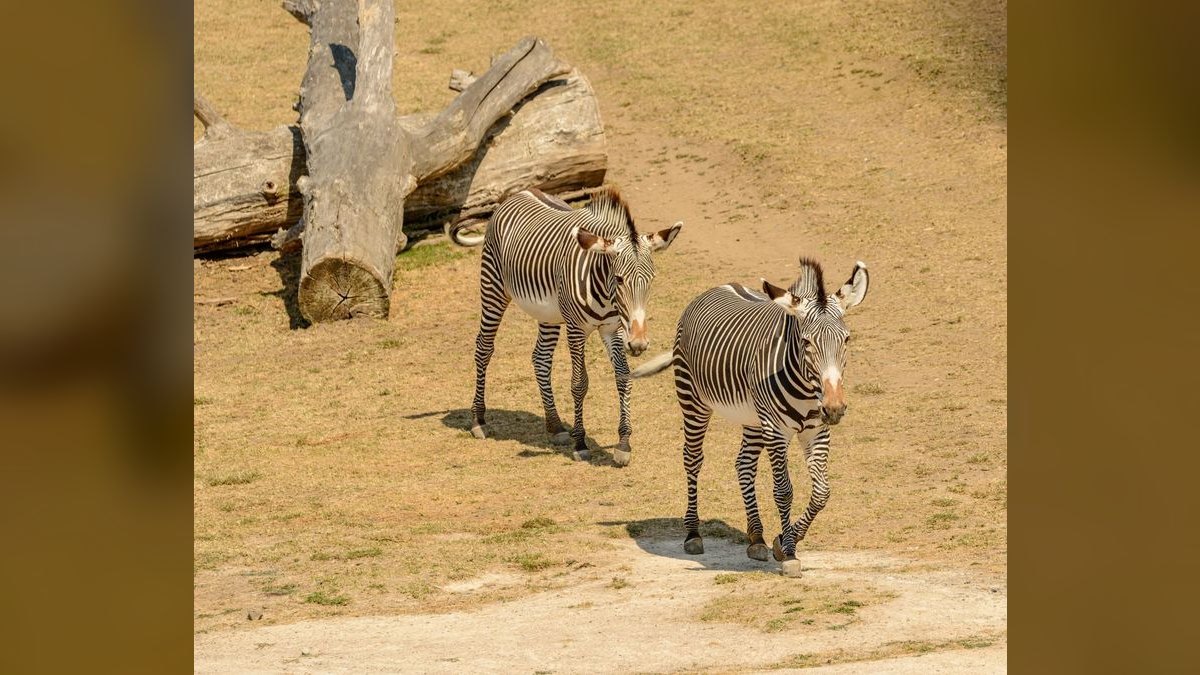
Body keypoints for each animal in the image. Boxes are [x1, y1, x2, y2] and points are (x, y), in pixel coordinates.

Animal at [450, 186, 683, 466]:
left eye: (652, 279)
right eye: (619, 279)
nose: (638, 344)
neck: (605, 289)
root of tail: (519, 192)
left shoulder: (612, 328)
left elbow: (623, 377)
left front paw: (623, 443)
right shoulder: (576, 328)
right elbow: (579, 383)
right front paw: (580, 443)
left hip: (548, 312)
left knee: (540, 358)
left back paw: (555, 425)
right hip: (493, 287)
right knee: (484, 348)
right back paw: (478, 419)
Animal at [630, 257, 869, 576]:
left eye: (846, 339)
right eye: (806, 343)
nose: (834, 408)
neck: (807, 390)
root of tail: (719, 287)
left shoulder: (815, 430)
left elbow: (822, 492)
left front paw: (782, 540)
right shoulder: (776, 429)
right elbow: (783, 490)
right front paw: (789, 553)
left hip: (753, 418)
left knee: (743, 464)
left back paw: (756, 538)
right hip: (693, 399)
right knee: (692, 459)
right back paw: (693, 533)